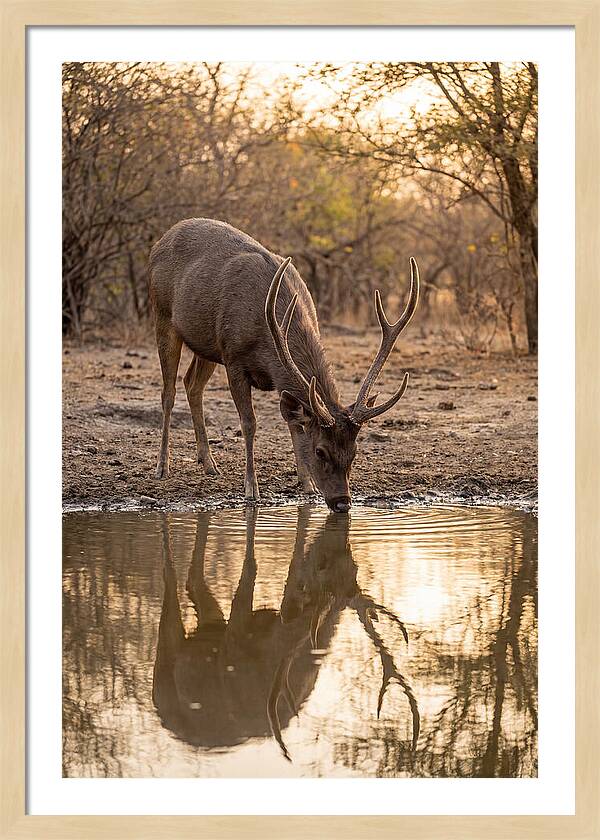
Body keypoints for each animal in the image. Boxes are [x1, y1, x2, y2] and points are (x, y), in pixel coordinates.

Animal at [148, 218, 419, 511]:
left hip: (206, 344)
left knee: (192, 384)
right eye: (320, 451)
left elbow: (294, 423)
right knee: (168, 392)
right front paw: (251, 489)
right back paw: (162, 467)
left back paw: (209, 464)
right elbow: (249, 423)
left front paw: (307, 484)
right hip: (163, 315)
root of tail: (160, 241)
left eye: (355, 452)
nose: (342, 502)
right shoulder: (233, 358)